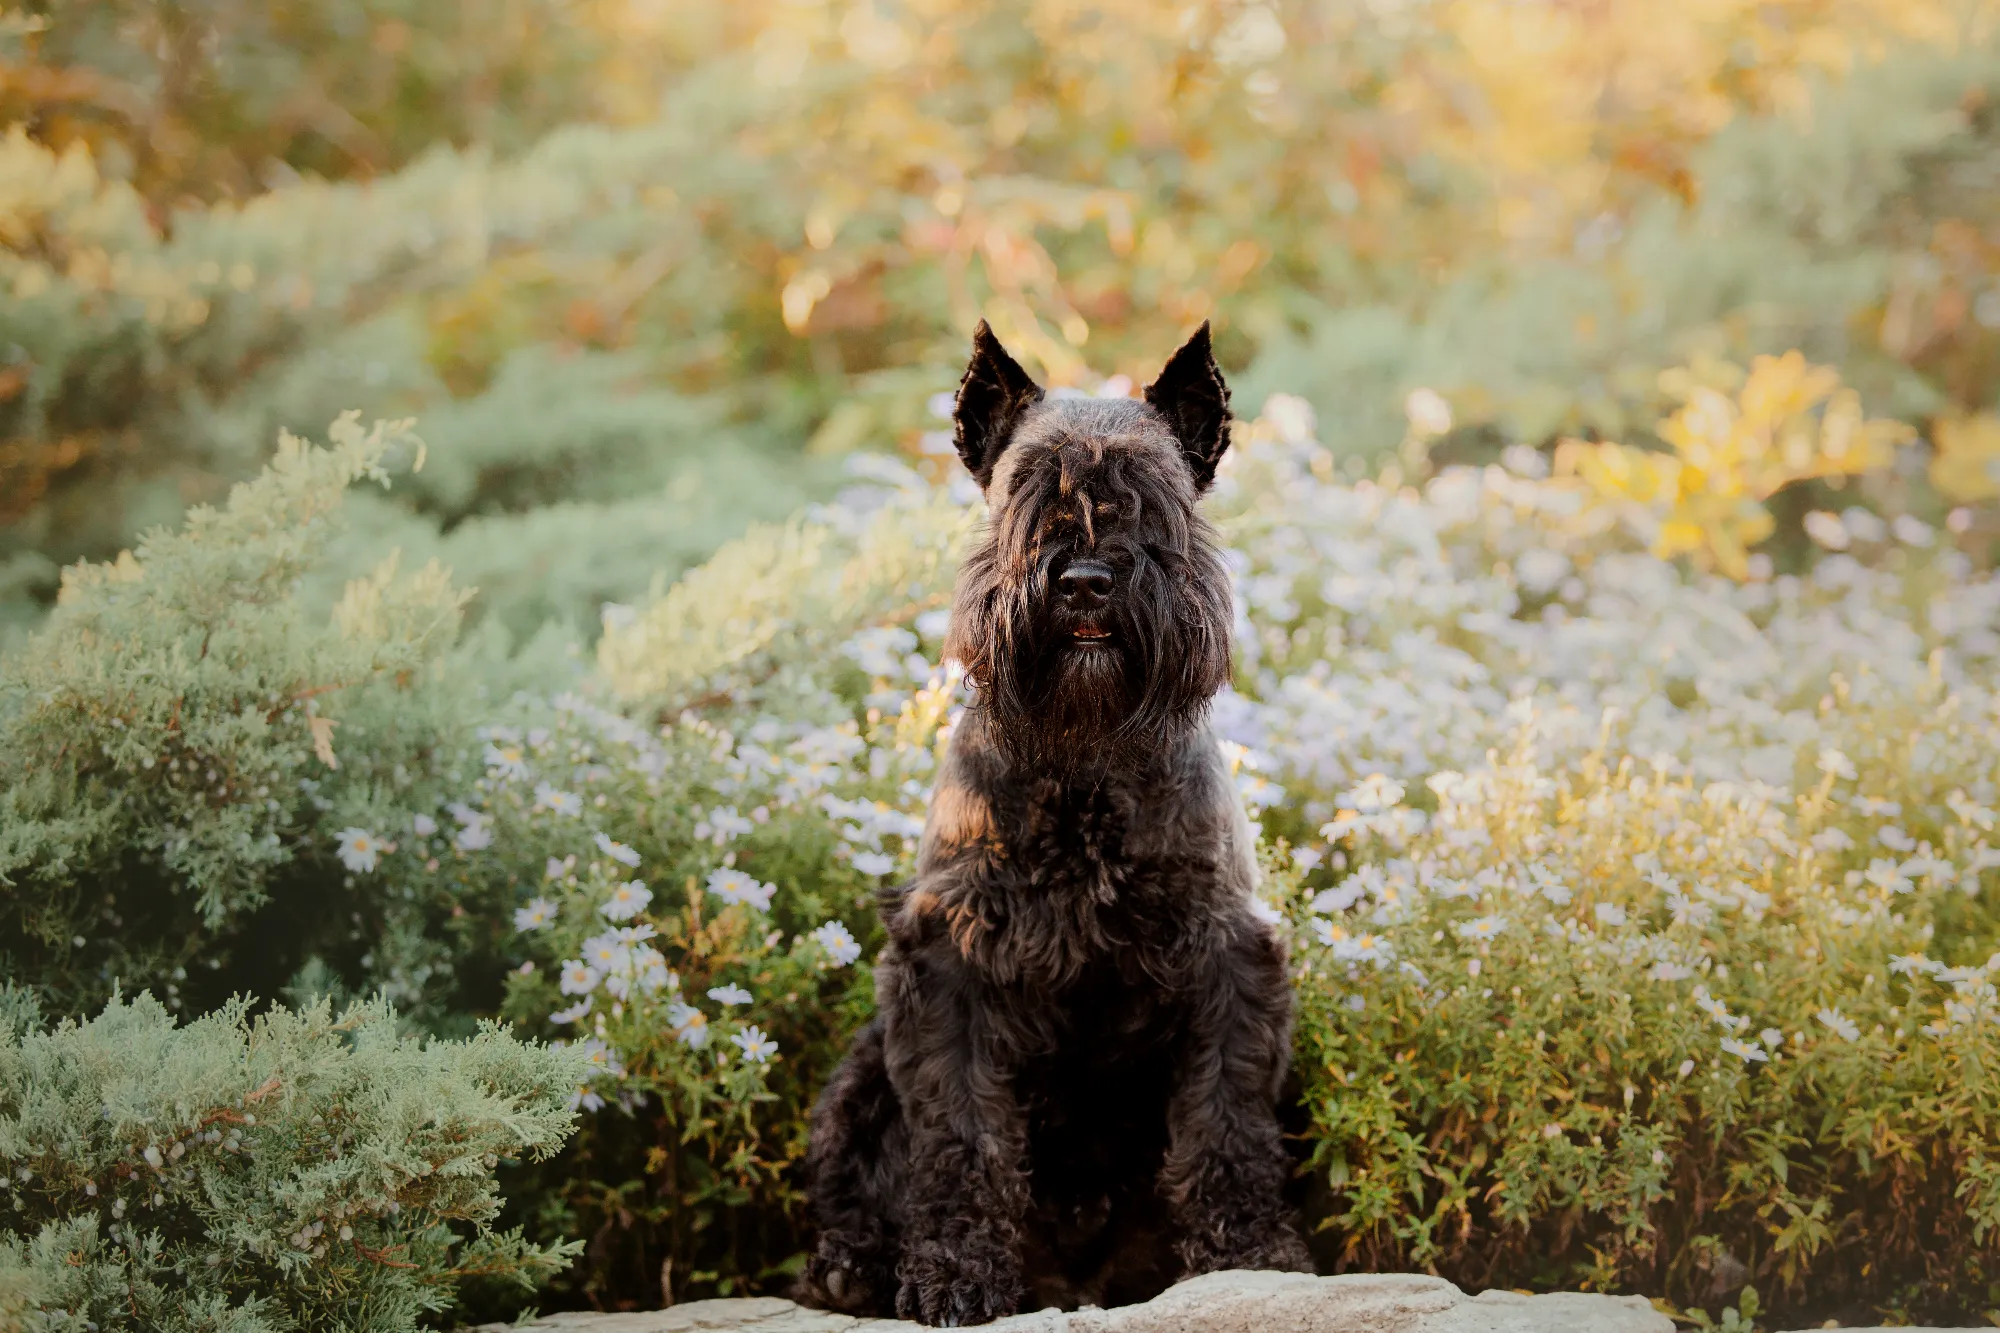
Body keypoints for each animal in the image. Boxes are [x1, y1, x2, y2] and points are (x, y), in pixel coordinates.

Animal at [796, 320, 1312, 1320]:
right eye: (1025, 493)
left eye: (1153, 500)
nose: (1084, 580)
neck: (1084, 764)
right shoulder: (949, 965)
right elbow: (961, 1135)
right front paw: (956, 1272)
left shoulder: (1225, 954)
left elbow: (1226, 1121)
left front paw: (1250, 1254)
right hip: (865, 1069)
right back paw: (849, 1263)